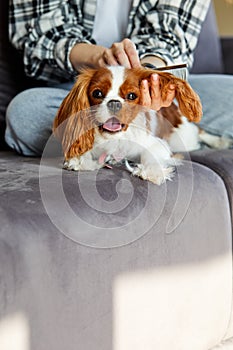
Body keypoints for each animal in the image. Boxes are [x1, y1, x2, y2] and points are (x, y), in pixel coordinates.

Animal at [53, 66, 203, 186]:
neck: (116, 138)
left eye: (131, 96)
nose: (114, 103)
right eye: (97, 93)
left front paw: (152, 170)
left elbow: (151, 154)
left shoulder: (157, 143)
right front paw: (79, 160)